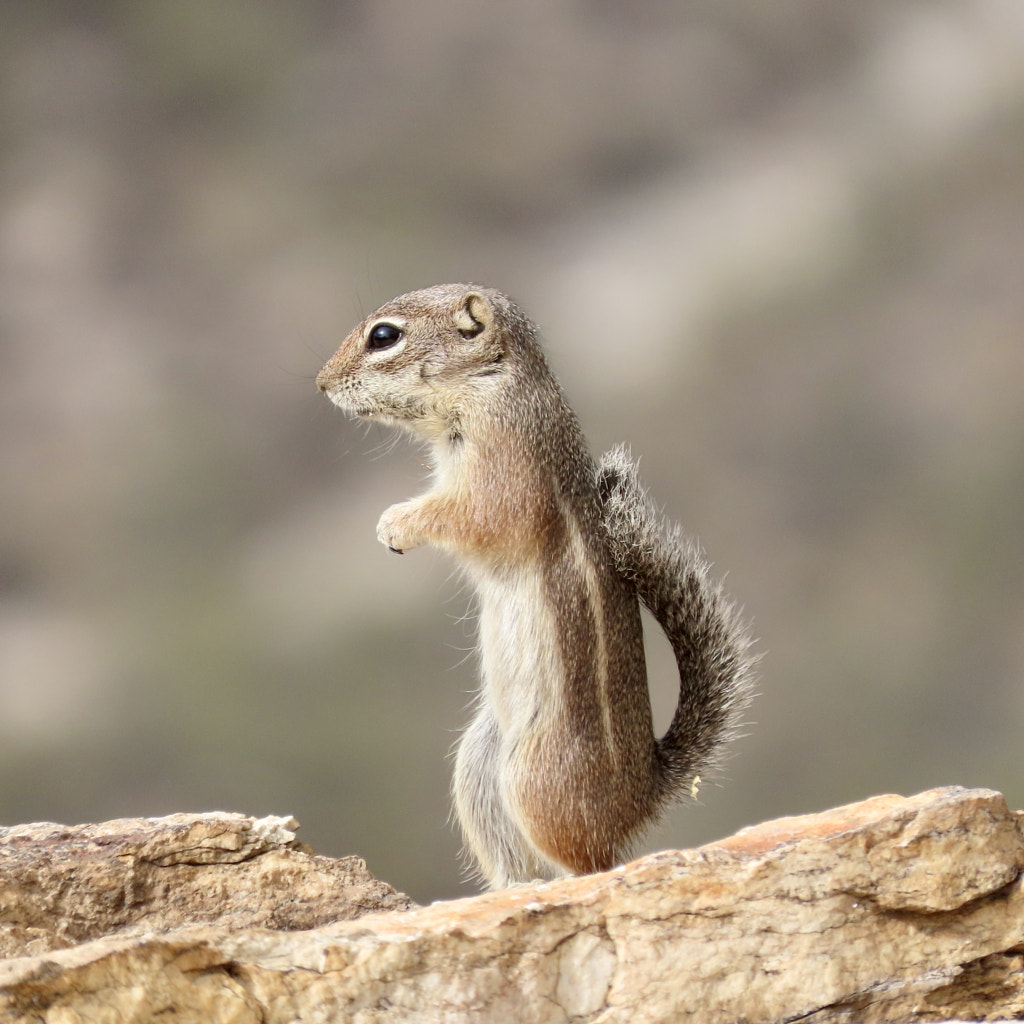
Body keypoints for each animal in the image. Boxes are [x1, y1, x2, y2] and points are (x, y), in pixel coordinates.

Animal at [315, 282, 757, 888]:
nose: (321, 383)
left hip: (536, 777)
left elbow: (476, 516)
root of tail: (644, 793)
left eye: (384, 336)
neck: (494, 383)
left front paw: (395, 523)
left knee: (593, 861)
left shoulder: (504, 471)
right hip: (479, 764)